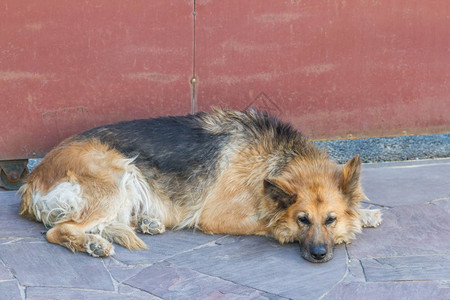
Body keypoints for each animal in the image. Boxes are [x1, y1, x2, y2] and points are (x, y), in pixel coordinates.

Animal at [20, 108, 380, 262]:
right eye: (302, 220)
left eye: (330, 219)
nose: (319, 255)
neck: (280, 159)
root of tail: (31, 179)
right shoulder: (218, 216)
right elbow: (268, 222)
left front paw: (364, 214)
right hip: (117, 174)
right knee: (60, 229)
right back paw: (92, 244)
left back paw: (147, 223)